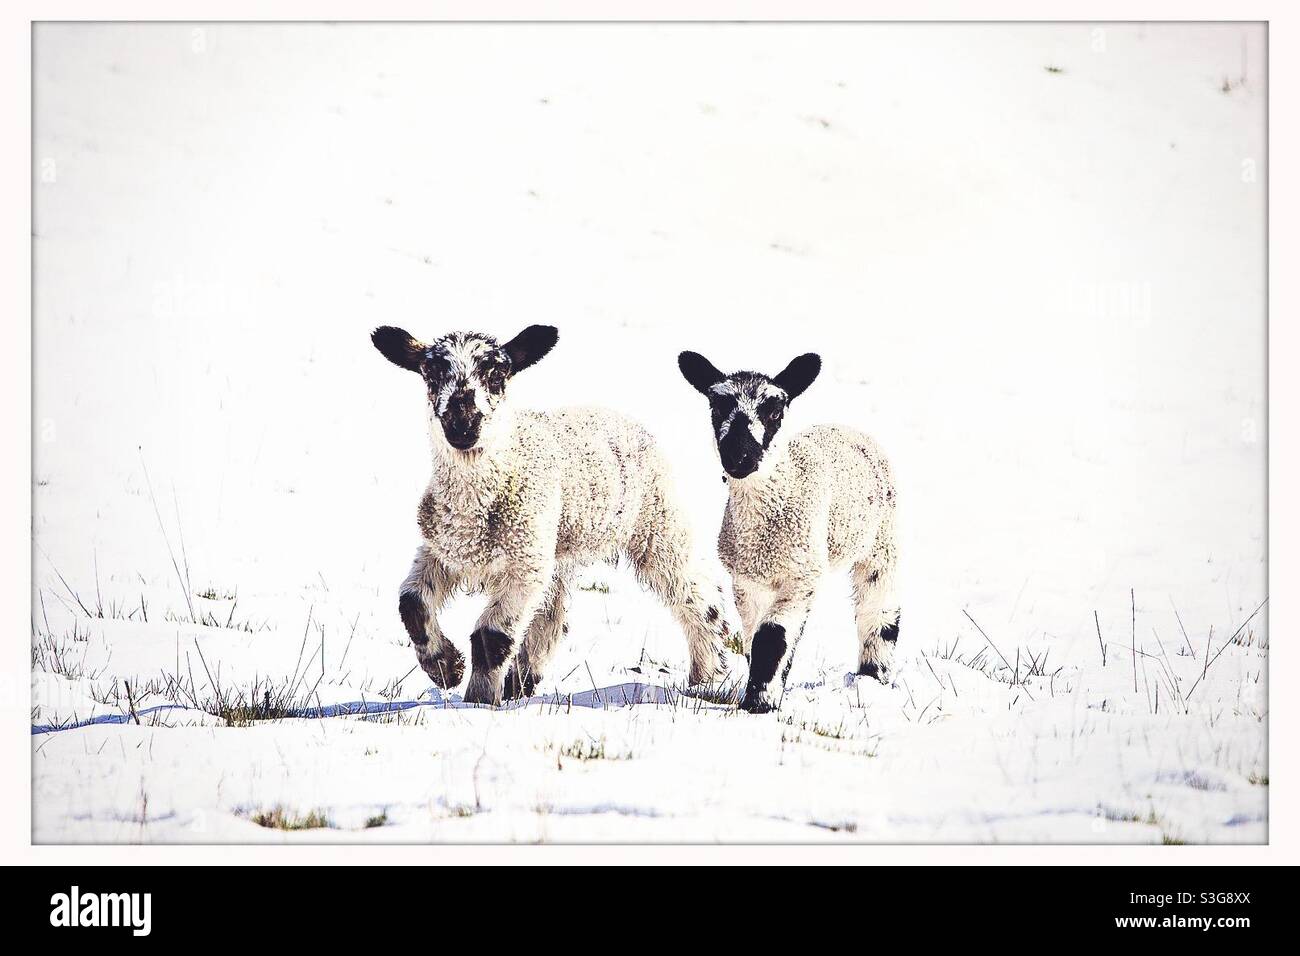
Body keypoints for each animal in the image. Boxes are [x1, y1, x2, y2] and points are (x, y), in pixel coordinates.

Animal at [372, 323, 736, 705]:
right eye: (431, 373)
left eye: (497, 374)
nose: (462, 424)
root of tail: (618, 415)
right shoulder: (442, 550)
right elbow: (411, 603)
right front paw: (445, 667)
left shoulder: (524, 565)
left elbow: (491, 637)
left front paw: (478, 700)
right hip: (558, 548)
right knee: (552, 616)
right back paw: (521, 682)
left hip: (658, 524)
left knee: (695, 592)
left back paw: (707, 675)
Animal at [677, 350, 899, 714]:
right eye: (717, 407)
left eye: (775, 411)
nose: (739, 456)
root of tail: (846, 428)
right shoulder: (745, 580)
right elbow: (755, 640)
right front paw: (760, 693)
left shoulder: (801, 575)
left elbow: (773, 636)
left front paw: (760, 703)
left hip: (881, 539)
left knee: (879, 609)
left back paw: (872, 676)